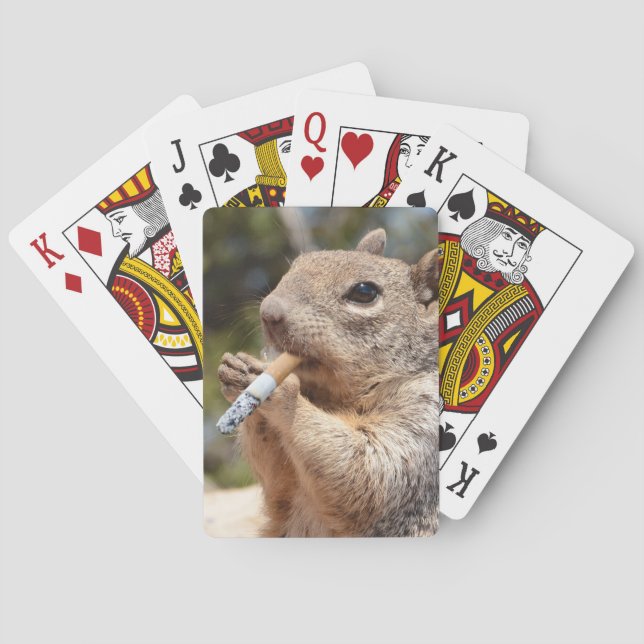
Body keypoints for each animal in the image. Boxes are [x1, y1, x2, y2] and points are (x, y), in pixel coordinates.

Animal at [217, 228, 440, 537]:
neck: (334, 398)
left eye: (364, 292)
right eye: (297, 264)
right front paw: (238, 367)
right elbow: (277, 479)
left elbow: (369, 471)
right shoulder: (285, 487)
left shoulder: (423, 424)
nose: (268, 312)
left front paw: (280, 389)